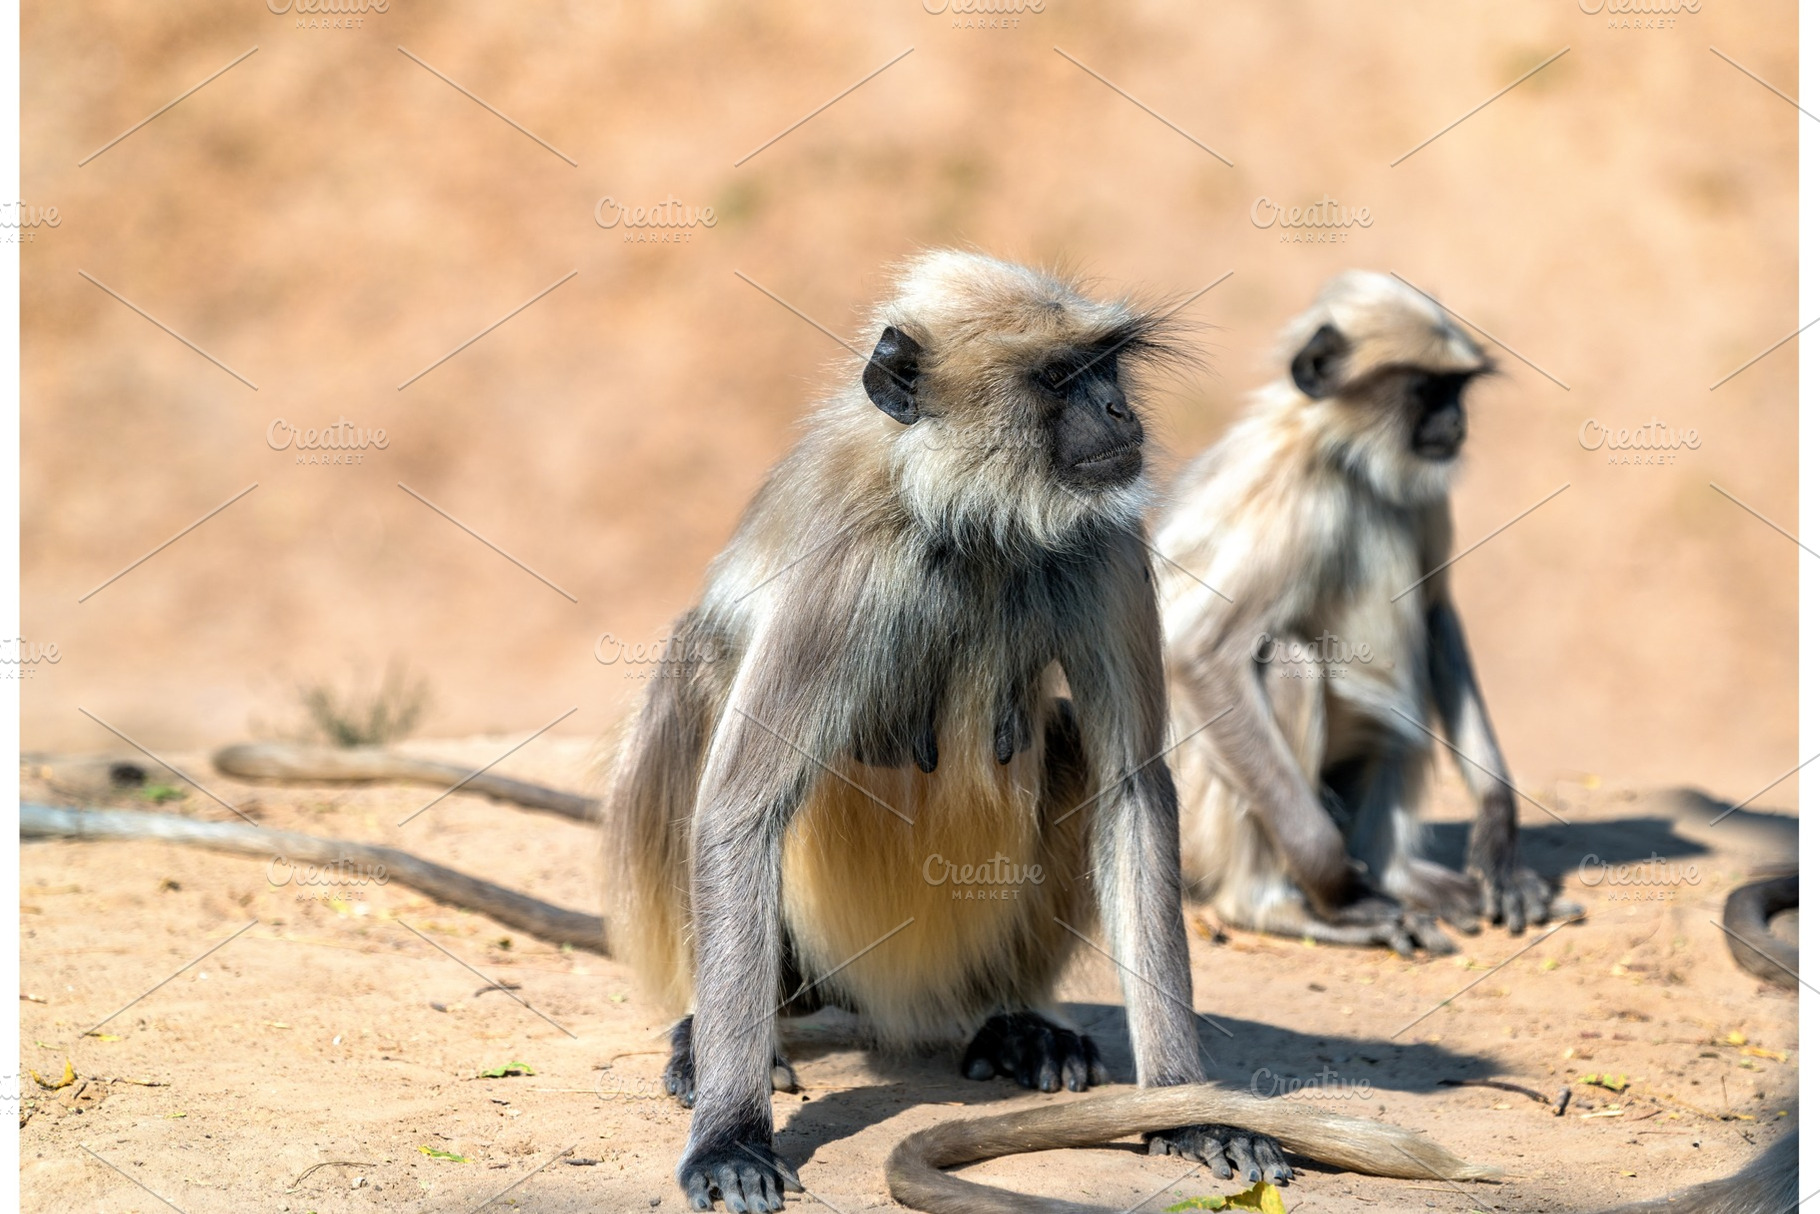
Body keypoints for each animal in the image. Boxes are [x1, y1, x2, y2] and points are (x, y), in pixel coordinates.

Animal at [596, 250, 1311, 1212]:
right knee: (701, 656)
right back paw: (711, 1035)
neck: (976, 520)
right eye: (1059, 379)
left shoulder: (1107, 538)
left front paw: (1186, 1107)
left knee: (1068, 739)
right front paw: (730, 1135)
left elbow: (1132, 792)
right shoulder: (849, 560)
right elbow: (742, 813)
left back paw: (1013, 1021)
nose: (1120, 413)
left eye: (1107, 368)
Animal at [1154, 271, 1576, 955]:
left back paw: (1398, 876)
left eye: (1458, 390)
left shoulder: (1424, 490)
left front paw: (1497, 834)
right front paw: (1339, 889)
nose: (1455, 421)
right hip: (1195, 815)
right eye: (1426, 390)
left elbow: (1435, 614)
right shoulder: (1295, 492)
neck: (1346, 457)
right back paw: (1282, 906)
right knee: (1286, 662)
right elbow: (1200, 653)